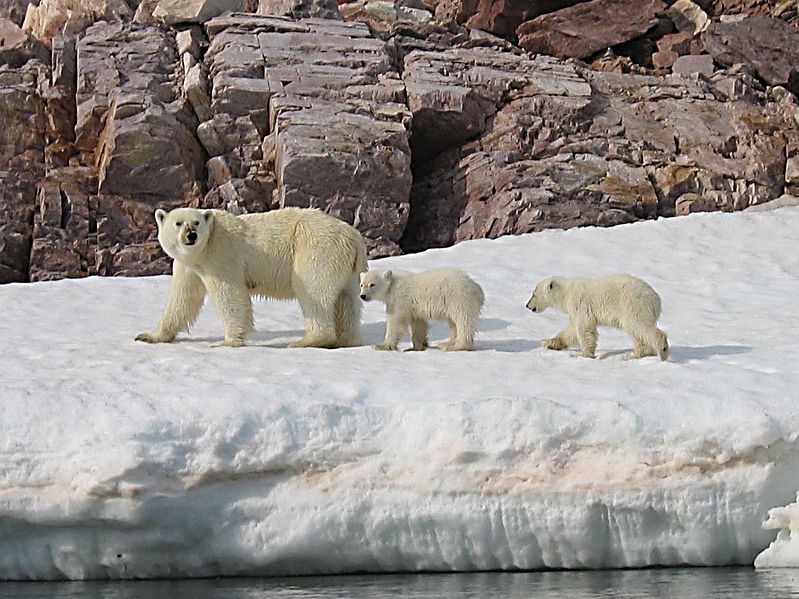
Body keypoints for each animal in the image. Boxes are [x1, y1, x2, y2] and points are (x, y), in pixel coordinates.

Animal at [136, 206, 368, 346]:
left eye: (196, 222)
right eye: (178, 223)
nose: (191, 236)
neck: (204, 249)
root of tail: (354, 237)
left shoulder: (221, 254)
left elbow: (230, 295)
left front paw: (227, 341)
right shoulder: (190, 266)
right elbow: (183, 299)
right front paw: (148, 336)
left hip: (316, 248)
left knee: (314, 291)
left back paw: (307, 341)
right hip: (347, 269)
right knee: (347, 302)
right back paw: (347, 340)